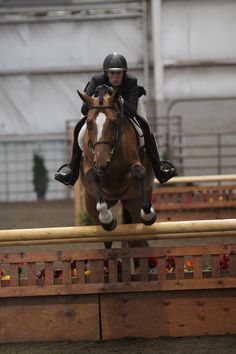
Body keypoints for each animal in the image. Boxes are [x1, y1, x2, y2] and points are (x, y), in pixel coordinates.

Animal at [77, 86, 157, 246]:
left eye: (114, 122)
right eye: (88, 123)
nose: (102, 163)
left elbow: (139, 172)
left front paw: (148, 213)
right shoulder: (91, 167)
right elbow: (93, 176)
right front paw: (107, 217)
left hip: (132, 202)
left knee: (138, 236)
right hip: (91, 204)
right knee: (107, 239)